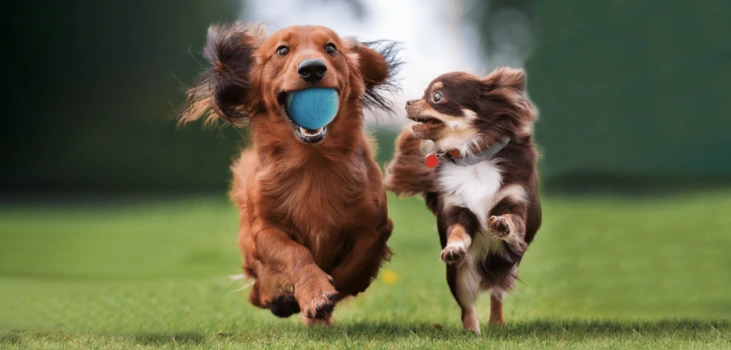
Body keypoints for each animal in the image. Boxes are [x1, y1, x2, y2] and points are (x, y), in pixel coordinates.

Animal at [181, 23, 404, 326]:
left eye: (331, 48)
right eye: (282, 50)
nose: (312, 69)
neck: (312, 163)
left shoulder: (375, 224)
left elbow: (358, 261)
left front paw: (332, 290)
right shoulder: (264, 230)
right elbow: (295, 253)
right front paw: (314, 292)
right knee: (258, 291)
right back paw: (281, 299)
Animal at [386, 67, 540, 332]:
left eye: (436, 97)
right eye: (423, 94)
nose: (408, 102)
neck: (473, 158)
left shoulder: (516, 204)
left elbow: (512, 220)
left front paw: (502, 223)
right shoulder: (457, 210)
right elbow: (457, 231)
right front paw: (454, 247)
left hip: (507, 265)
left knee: (497, 294)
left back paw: (496, 323)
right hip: (458, 277)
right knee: (467, 308)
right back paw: (472, 332)